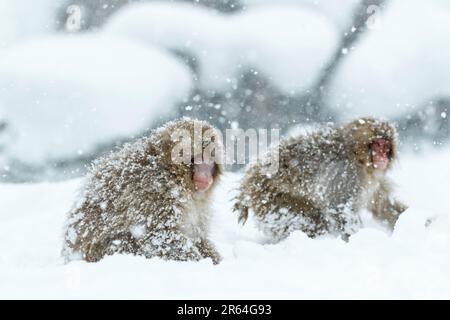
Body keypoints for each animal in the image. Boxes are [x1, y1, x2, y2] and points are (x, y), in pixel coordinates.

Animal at [62, 119, 224, 264]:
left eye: (210, 158)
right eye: (197, 158)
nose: (205, 175)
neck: (173, 173)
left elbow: (198, 237)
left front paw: (213, 257)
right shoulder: (155, 190)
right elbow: (157, 235)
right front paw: (198, 260)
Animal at [234, 119, 406, 241]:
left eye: (386, 147)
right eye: (377, 145)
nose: (382, 156)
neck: (358, 158)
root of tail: (249, 177)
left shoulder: (374, 180)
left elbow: (382, 206)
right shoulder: (347, 175)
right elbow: (340, 209)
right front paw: (359, 239)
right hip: (270, 199)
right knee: (309, 222)